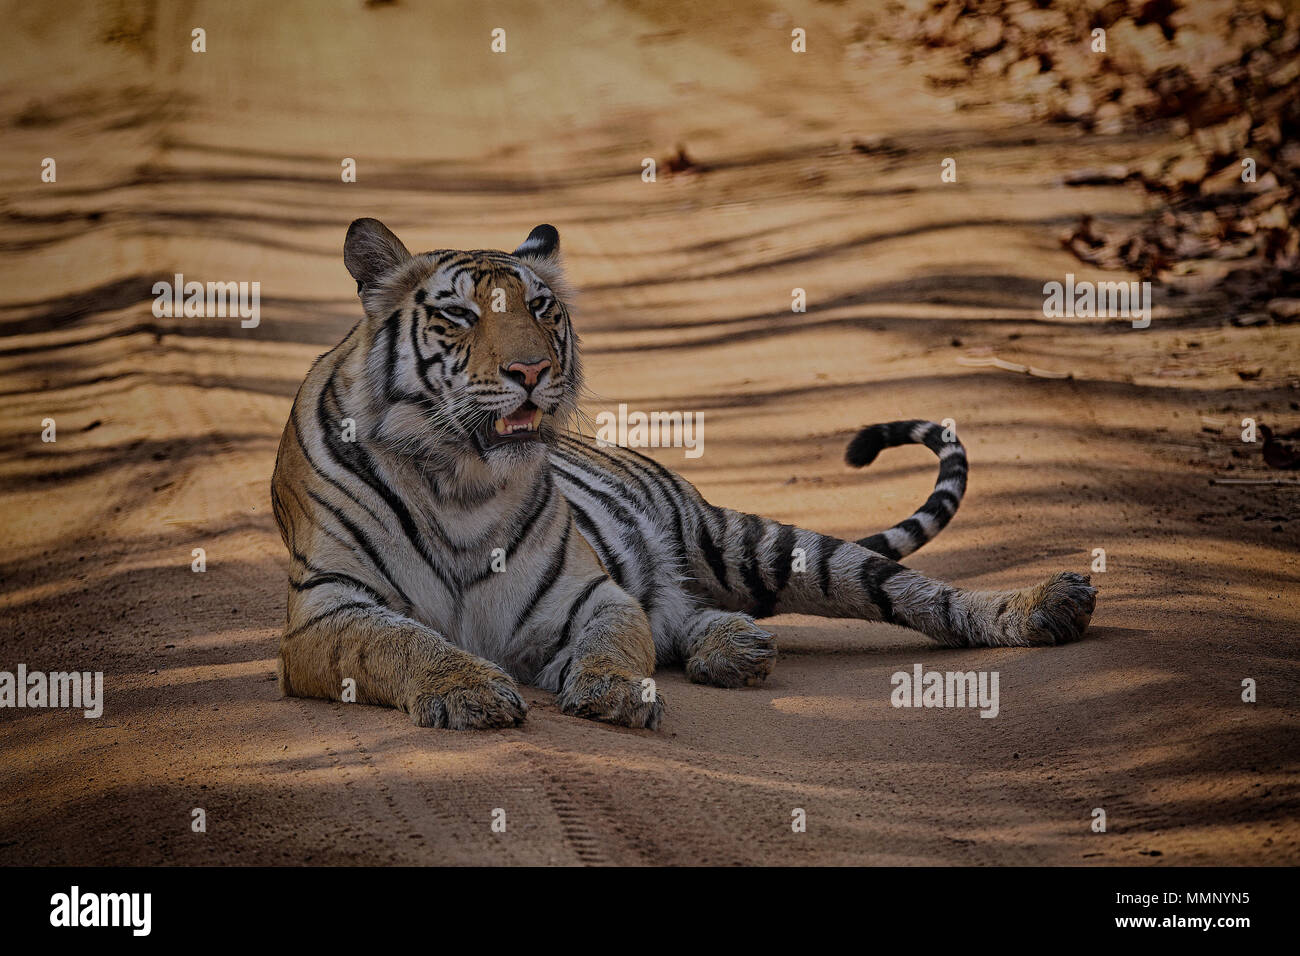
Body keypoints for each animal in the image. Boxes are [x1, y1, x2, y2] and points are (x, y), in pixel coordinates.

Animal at [271, 221, 1097, 728]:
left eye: (542, 308)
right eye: (461, 317)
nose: (531, 371)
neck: (461, 477)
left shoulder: (586, 592)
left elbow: (616, 636)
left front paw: (609, 691)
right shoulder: (327, 609)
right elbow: (404, 643)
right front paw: (468, 690)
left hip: (749, 547)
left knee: (917, 593)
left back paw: (1047, 606)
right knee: (678, 616)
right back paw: (734, 647)